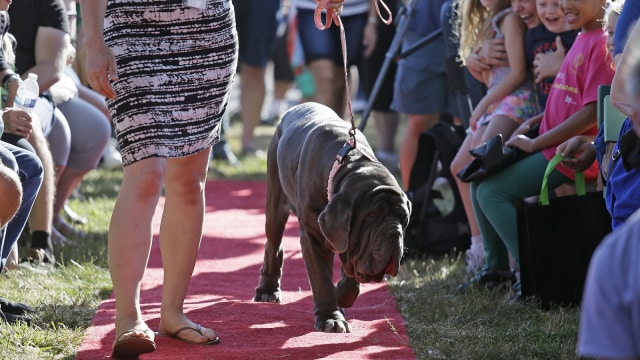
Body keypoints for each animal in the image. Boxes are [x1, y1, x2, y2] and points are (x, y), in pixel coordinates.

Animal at [254, 101, 410, 332]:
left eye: (402, 218)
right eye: (371, 216)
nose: (394, 233)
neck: (347, 165)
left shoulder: (348, 242)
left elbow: (351, 273)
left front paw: (342, 296)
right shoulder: (313, 236)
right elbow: (321, 280)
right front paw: (331, 318)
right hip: (275, 201)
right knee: (273, 244)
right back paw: (267, 289)